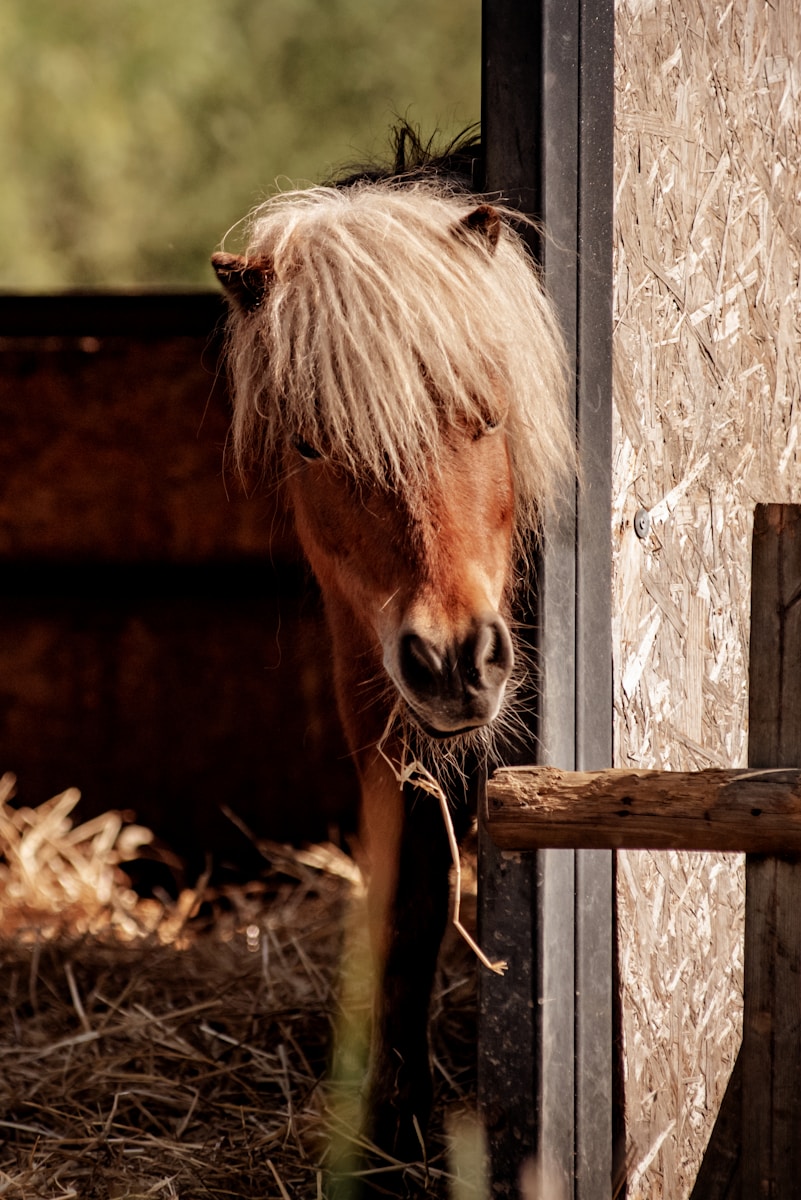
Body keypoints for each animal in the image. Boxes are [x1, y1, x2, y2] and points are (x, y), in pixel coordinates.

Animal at [211, 133, 573, 1182]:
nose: (454, 660)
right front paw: (386, 1126)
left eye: (486, 415)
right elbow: (406, 908)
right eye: (310, 445)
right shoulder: (380, 712)